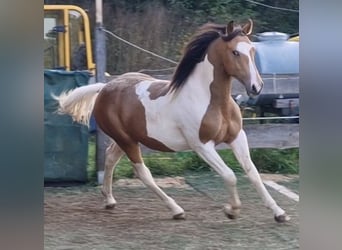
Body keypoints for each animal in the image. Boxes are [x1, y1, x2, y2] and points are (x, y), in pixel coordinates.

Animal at [54, 19, 290, 223]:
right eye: (235, 52)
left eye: (252, 51)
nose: (256, 87)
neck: (211, 101)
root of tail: (104, 87)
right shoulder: (202, 145)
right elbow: (230, 175)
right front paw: (231, 210)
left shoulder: (236, 137)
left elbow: (253, 173)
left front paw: (279, 213)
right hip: (127, 141)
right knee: (143, 173)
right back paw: (176, 209)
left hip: (126, 139)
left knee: (111, 158)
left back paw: (110, 200)